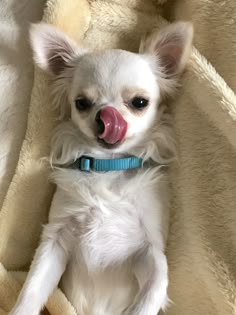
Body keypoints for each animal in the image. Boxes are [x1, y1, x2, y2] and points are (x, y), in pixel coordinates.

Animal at [10, 22, 193, 315]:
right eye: (81, 103)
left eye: (139, 103)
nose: (106, 116)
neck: (109, 166)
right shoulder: (55, 239)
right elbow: (32, 289)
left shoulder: (150, 250)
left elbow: (154, 289)